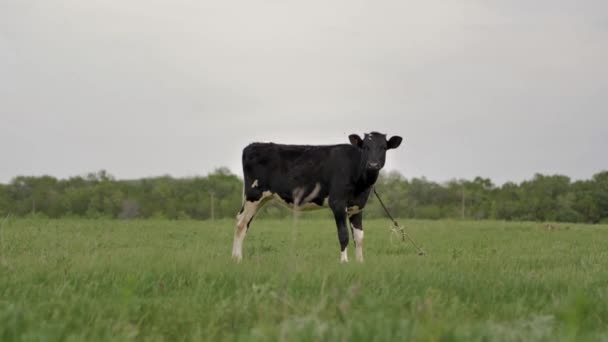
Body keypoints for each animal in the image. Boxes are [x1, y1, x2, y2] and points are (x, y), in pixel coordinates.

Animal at [233, 132, 404, 264]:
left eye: (383, 147)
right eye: (365, 147)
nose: (373, 164)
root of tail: (253, 145)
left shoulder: (357, 207)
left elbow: (359, 236)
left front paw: (360, 262)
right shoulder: (337, 203)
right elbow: (343, 234)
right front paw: (344, 261)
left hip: (260, 198)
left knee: (245, 223)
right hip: (253, 195)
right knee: (241, 224)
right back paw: (236, 259)